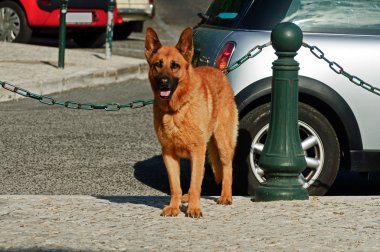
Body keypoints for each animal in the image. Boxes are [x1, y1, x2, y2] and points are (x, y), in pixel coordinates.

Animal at [145, 27, 238, 217]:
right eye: (158, 64)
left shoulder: (197, 150)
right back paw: (186, 198)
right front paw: (174, 207)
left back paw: (225, 196)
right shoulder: (169, 155)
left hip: (222, 143)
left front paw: (194, 209)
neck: (175, 110)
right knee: (201, 172)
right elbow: (176, 186)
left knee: (227, 168)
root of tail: (220, 72)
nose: (163, 82)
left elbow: (195, 184)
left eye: (175, 65)